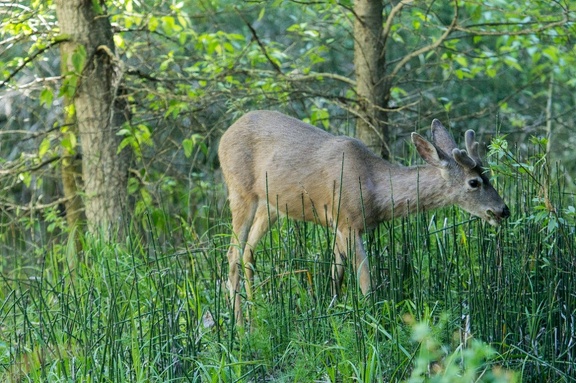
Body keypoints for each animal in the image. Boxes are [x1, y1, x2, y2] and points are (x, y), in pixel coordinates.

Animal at [218, 110, 510, 324]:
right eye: (474, 182)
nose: (503, 210)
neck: (374, 190)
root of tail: (223, 136)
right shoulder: (347, 222)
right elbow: (366, 279)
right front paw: (373, 322)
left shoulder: (337, 224)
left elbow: (336, 273)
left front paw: (333, 312)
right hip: (240, 192)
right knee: (232, 254)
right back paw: (240, 326)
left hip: (271, 206)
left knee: (248, 252)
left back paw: (255, 313)